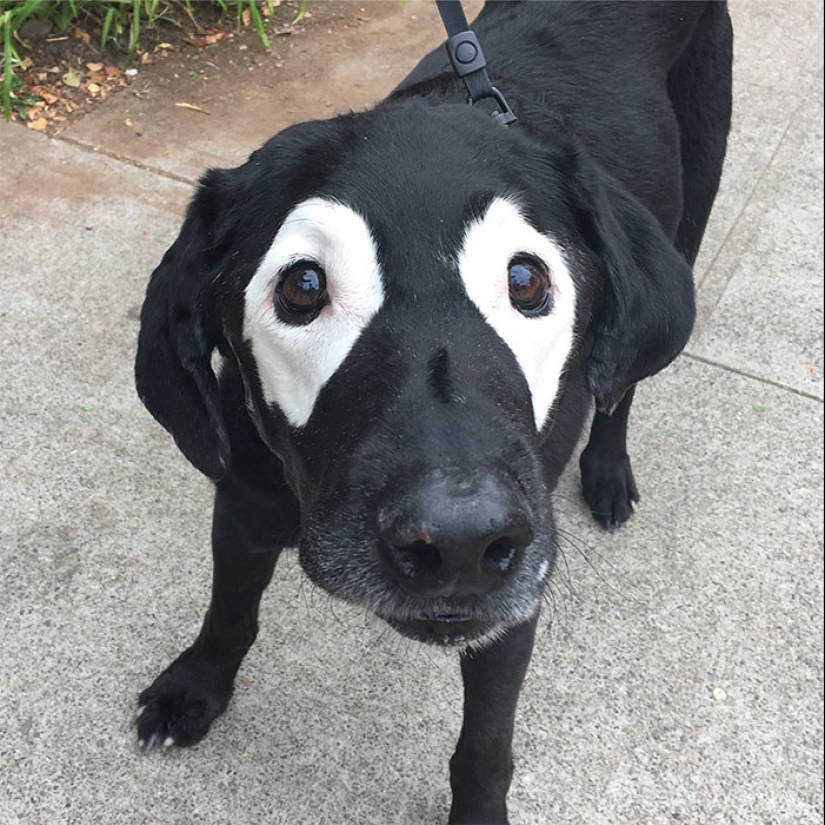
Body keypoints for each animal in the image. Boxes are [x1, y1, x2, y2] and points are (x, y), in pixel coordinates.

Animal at [134, 3, 728, 820]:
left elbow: (484, 744)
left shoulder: (511, 609)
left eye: (525, 279)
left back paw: (608, 468)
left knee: (623, 384)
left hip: (693, 202)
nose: (459, 540)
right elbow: (229, 610)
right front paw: (196, 686)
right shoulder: (244, 501)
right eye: (302, 286)